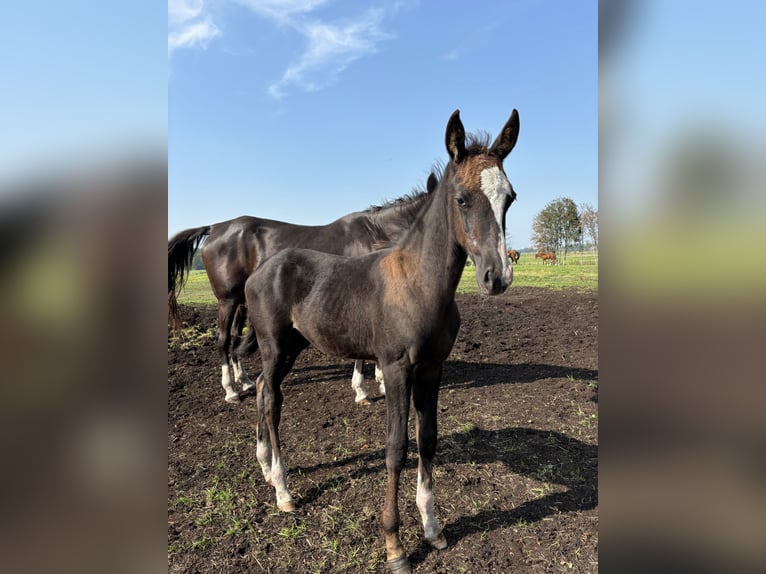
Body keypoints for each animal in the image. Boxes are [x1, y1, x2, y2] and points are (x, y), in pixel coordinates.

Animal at [168, 176, 438, 404]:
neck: (375, 233)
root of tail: (214, 228)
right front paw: (361, 390)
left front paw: (381, 382)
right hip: (227, 300)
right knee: (223, 341)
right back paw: (230, 390)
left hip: (242, 303)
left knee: (235, 339)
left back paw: (243, 381)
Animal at [244, 110, 520, 572]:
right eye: (462, 199)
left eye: (510, 197)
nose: (496, 277)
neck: (418, 283)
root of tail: (259, 271)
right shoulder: (394, 369)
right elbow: (396, 448)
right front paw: (395, 545)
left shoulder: (432, 369)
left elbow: (428, 439)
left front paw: (433, 529)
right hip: (274, 346)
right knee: (270, 398)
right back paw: (282, 490)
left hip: (292, 348)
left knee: (265, 389)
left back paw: (266, 466)